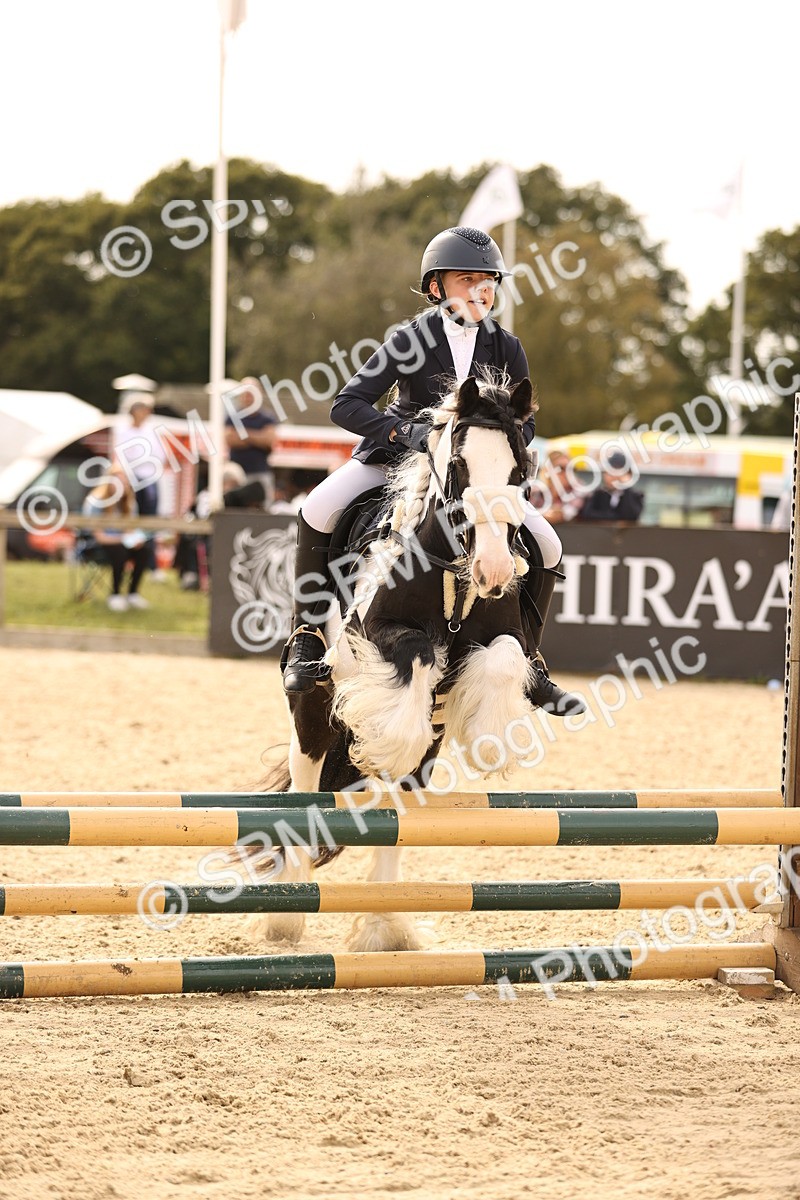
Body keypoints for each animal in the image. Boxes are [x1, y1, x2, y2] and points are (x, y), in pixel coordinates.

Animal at [258, 370, 542, 951]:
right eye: (458, 467)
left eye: (519, 470)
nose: (495, 570)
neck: (454, 569)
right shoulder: (369, 636)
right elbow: (416, 653)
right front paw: (389, 741)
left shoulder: (506, 636)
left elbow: (503, 659)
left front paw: (490, 738)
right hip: (312, 708)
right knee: (306, 779)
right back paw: (287, 913)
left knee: (399, 809)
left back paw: (386, 927)